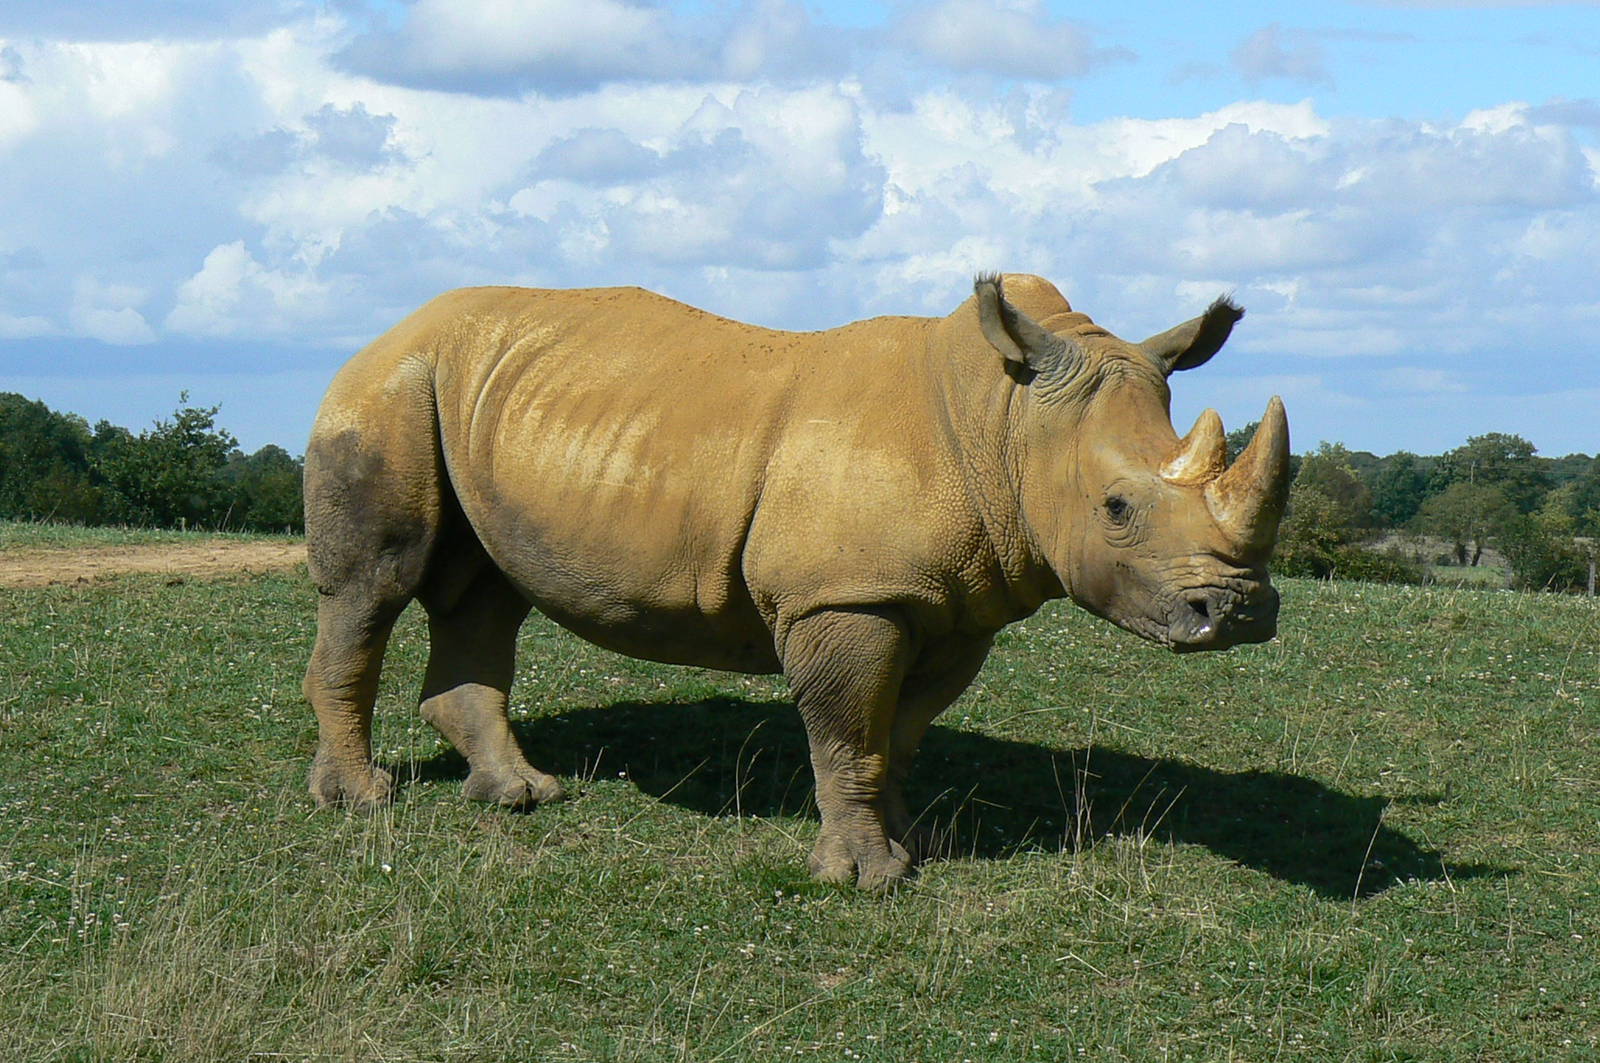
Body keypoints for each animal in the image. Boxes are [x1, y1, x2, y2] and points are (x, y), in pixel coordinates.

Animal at [302, 273, 1290, 888]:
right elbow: (848, 731)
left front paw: (920, 840)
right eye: (1116, 507)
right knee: (375, 587)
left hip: (473, 402)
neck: (1002, 422)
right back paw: (363, 800)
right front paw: (866, 877)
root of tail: (384, 330)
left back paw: (519, 795)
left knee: (486, 593)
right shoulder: (845, 594)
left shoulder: (951, 602)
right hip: (388, 389)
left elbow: (900, 732)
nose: (1239, 612)